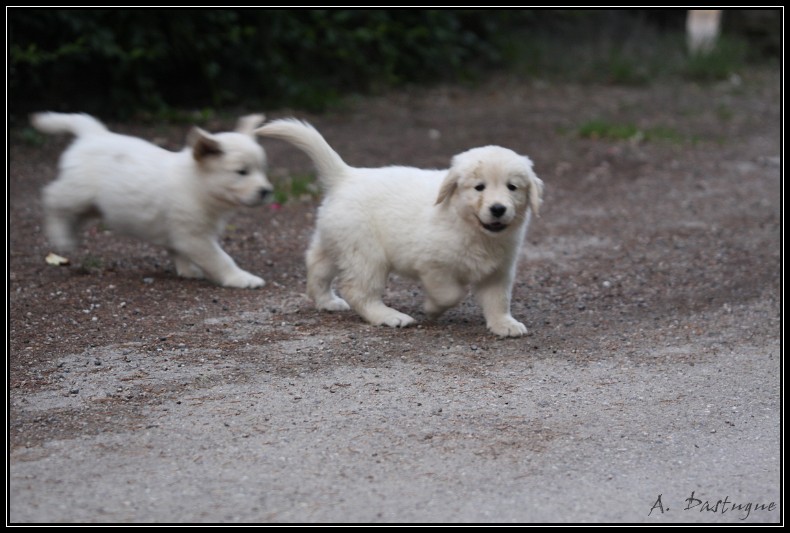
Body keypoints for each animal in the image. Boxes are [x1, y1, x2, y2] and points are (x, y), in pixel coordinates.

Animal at [32, 110, 274, 288]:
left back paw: (70, 236)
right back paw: (61, 235)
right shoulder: (195, 236)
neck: (196, 183)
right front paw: (241, 278)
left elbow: (179, 252)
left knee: (73, 214)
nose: (267, 191)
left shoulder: (183, 233)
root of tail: (93, 134)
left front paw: (187, 271)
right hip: (77, 192)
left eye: (262, 169)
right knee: (51, 196)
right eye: (242, 172)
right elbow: (221, 259)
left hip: (92, 205)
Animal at [260, 120, 544, 336]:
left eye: (512, 187)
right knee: (358, 291)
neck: (472, 229)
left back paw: (326, 301)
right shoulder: (433, 265)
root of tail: (346, 176)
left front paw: (504, 324)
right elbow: (450, 293)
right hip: (366, 252)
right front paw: (432, 308)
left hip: (339, 241)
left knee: (317, 264)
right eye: (479, 187)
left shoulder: (499, 269)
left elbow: (498, 299)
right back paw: (389, 316)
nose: (498, 209)